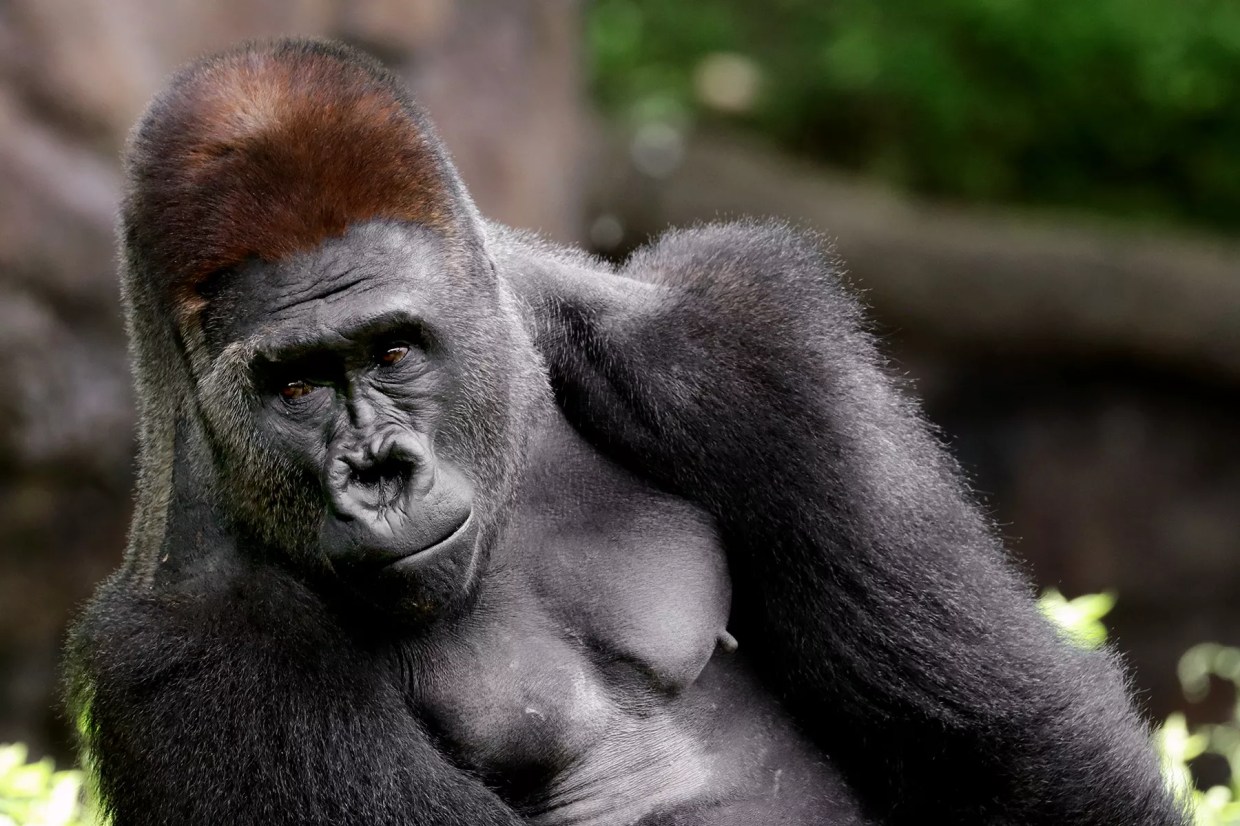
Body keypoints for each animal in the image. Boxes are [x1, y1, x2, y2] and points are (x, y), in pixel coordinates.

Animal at [65, 38, 1187, 826]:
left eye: (393, 352)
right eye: (294, 385)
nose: (378, 471)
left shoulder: (743, 343)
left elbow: (1002, 741)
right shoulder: (185, 645)